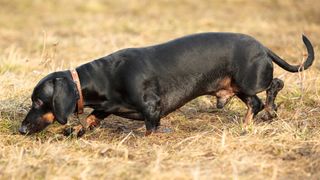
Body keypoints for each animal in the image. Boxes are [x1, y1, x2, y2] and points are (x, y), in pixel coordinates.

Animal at [18, 32, 314, 136]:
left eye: (38, 100)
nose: (20, 130)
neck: (104, 76)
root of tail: (263, 47)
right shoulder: (106, 106)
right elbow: (92, 118)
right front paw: (76, 130)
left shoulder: (152, 108)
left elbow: (151, 129)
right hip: (239, 88)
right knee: (255, 103)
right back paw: (248, 123)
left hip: (250, 80)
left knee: (274, 85)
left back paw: (270, 112)